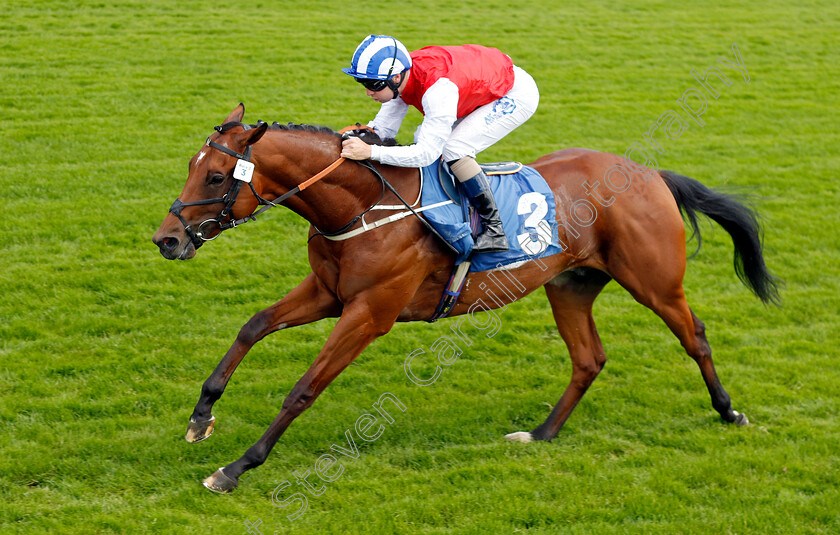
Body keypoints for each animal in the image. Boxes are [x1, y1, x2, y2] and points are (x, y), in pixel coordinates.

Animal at [153, 104, 780, 494]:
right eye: (190, 167)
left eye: (215, 177)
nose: (167, 239)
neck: (362, 205)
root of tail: (650, 173)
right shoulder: (328, 292)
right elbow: (254, 325)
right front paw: (202, 416)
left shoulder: (369, 312)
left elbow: (303, 389)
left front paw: (236, 468)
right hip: (569, 285)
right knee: (589, 359)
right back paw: (541, 433)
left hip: (654, 281)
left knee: (694, 336)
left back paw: (730, 412)